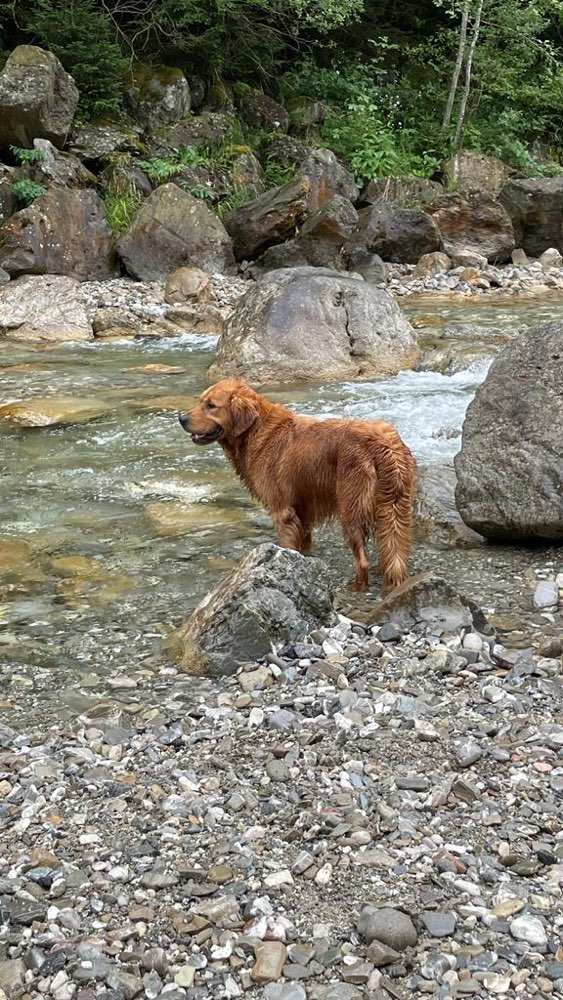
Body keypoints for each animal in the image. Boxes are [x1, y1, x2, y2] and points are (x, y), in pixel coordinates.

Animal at [178, 378, 416, 588]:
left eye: (211, 406)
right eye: (201, 401)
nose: (181, 418)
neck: (255, 431)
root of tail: (382, 442)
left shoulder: (282, 511)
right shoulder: (304, 510)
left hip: (351, 508)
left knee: (363, 562)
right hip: (396, 509)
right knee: (395, 560)